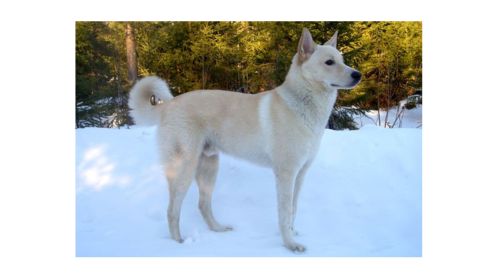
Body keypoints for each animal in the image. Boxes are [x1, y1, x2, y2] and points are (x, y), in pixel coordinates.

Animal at [127, 27, 360, 252]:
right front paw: (289, 244)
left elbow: (293, 210)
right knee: (172, 210)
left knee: (203, 205)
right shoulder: (285, 174)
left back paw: (218, 228)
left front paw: (293, 234)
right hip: (184, 169)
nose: (358, 75)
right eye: (329, 62)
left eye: (342, 59)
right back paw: (178, 243)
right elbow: (284, 214)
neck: (302, 104)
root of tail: (169, 105)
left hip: (209, 167)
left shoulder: (300, 174)